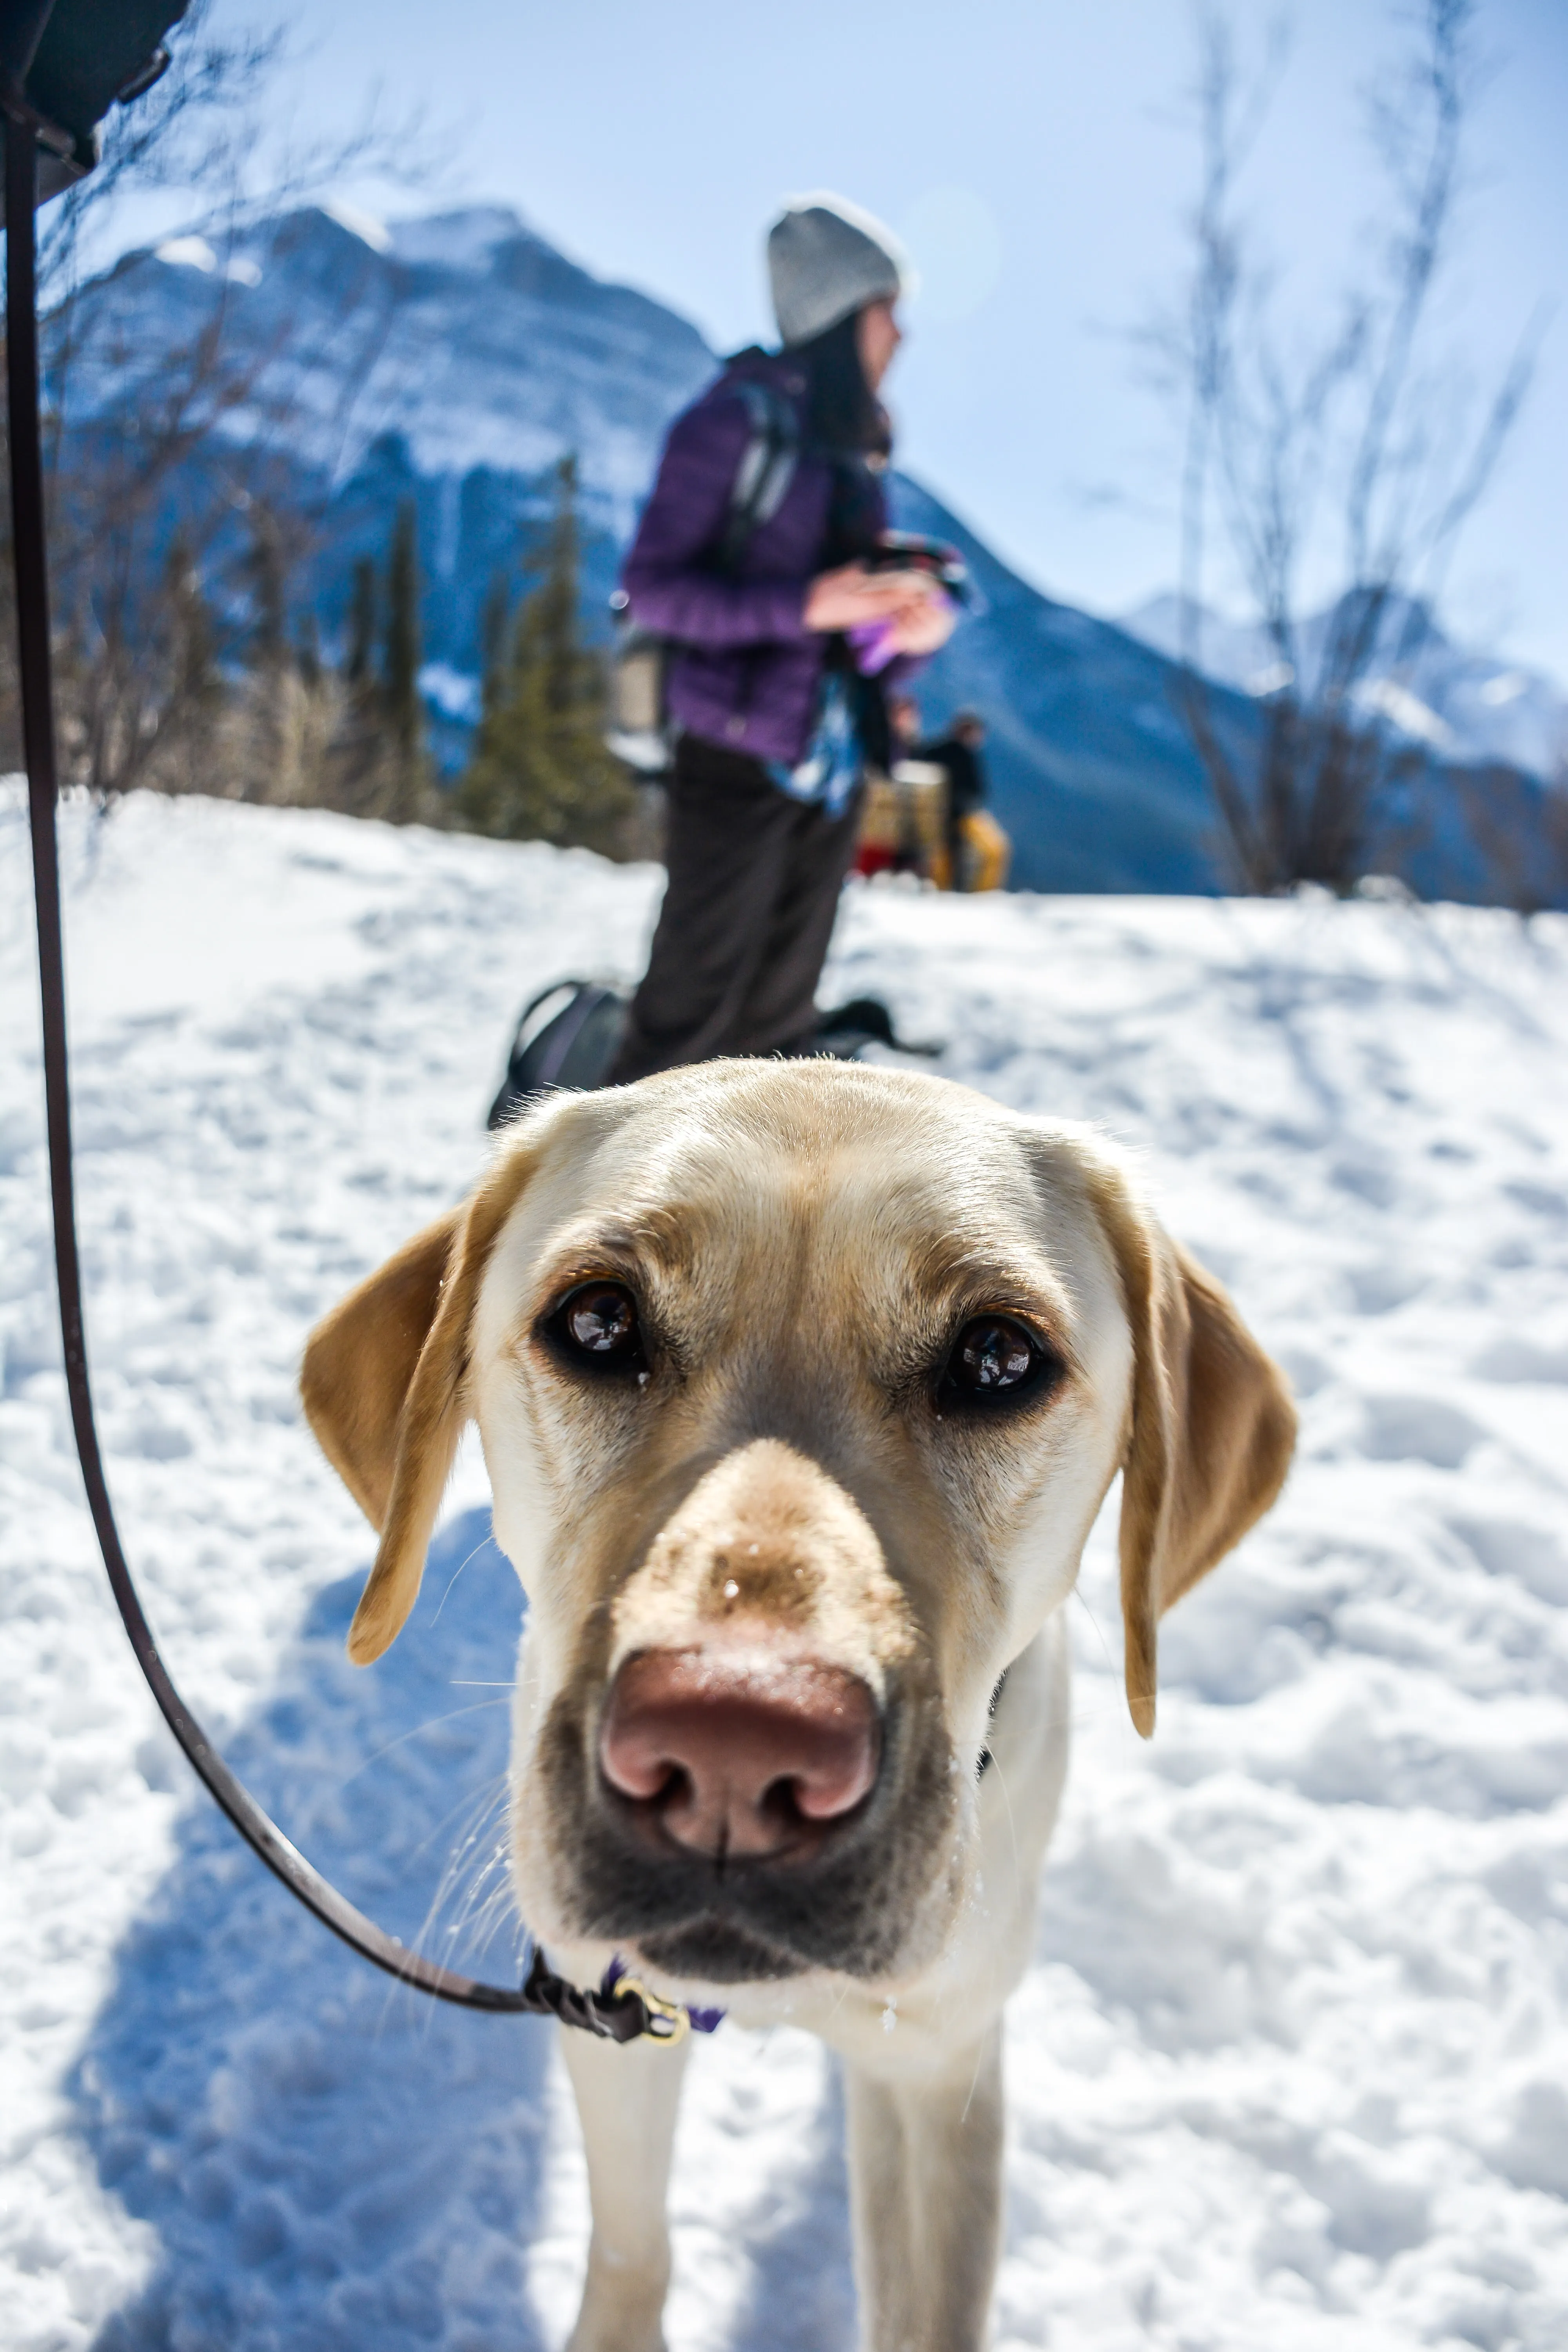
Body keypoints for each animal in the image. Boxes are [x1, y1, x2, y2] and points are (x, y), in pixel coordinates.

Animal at [303, 1068, 1288, 2352]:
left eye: (998, 1354)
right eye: (598, 1322)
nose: (733, 1742)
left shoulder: (938, 2064)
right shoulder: (603, 2014)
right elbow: (630, 2244)